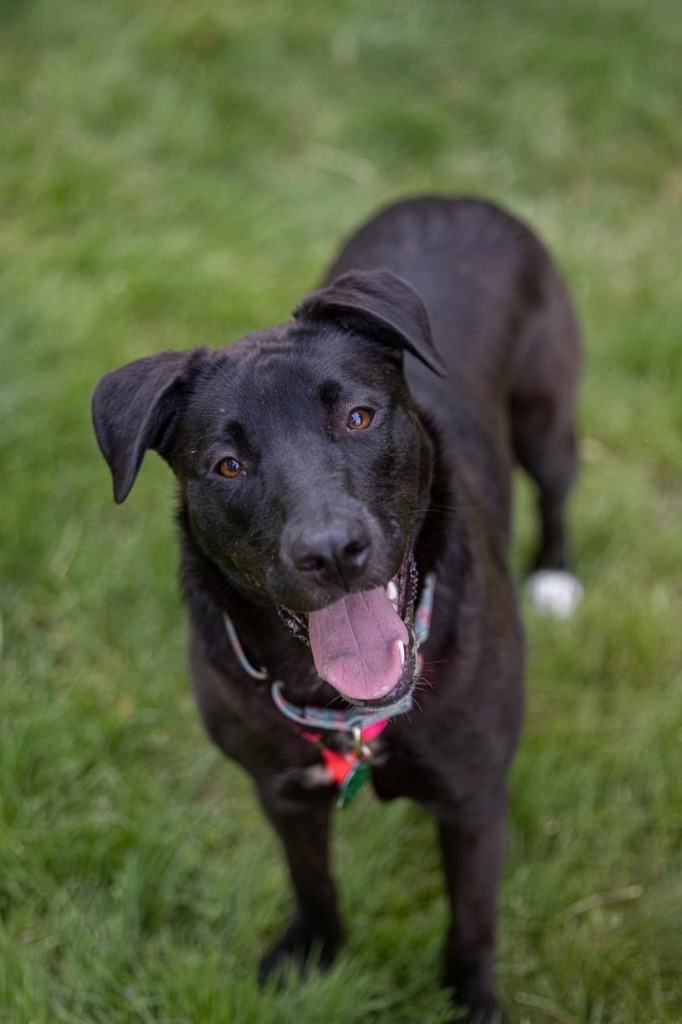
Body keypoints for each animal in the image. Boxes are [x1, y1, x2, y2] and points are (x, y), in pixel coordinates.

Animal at [91, 195, 577, 1019]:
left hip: (547, 412)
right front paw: (312, 954)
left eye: (357, 417)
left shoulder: (475, 796)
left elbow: (472, 922)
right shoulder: (282, 792)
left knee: (556, 488)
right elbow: (312, 880)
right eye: (228, 465)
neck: (350, 709)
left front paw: (472, 1000)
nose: (330, 551)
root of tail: (452, 196)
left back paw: (556, 576)